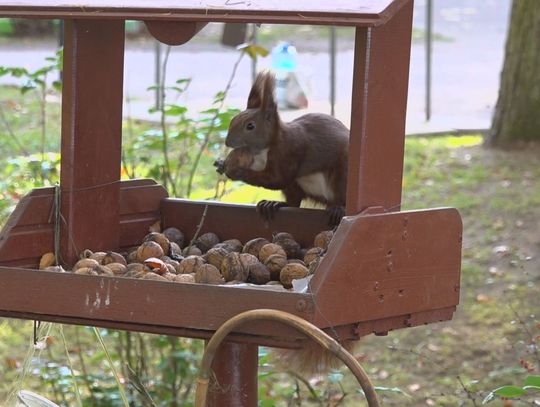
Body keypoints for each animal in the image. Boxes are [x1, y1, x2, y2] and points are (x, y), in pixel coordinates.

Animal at [215, 71, 350, 225]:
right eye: (233, 120)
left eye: (250, 126)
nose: (227, 142)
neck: (263, 150)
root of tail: (327, 201)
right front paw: (221, 164)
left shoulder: (289, 152)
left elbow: (278, 178)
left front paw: (239, 172)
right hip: (295, 186)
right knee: (294, 202)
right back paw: (273, 204)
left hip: (342, 174)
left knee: (340, 194)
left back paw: (338, 208)